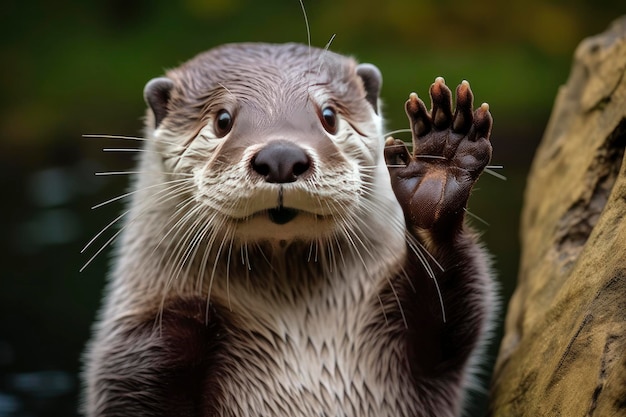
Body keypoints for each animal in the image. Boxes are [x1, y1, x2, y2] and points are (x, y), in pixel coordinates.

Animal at [80, 43, 494, 416]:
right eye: (222, 120)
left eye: (328, 115)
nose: (281, 156)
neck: (299, 328)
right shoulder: (141, 346)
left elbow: (454, 326)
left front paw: (437, 170)